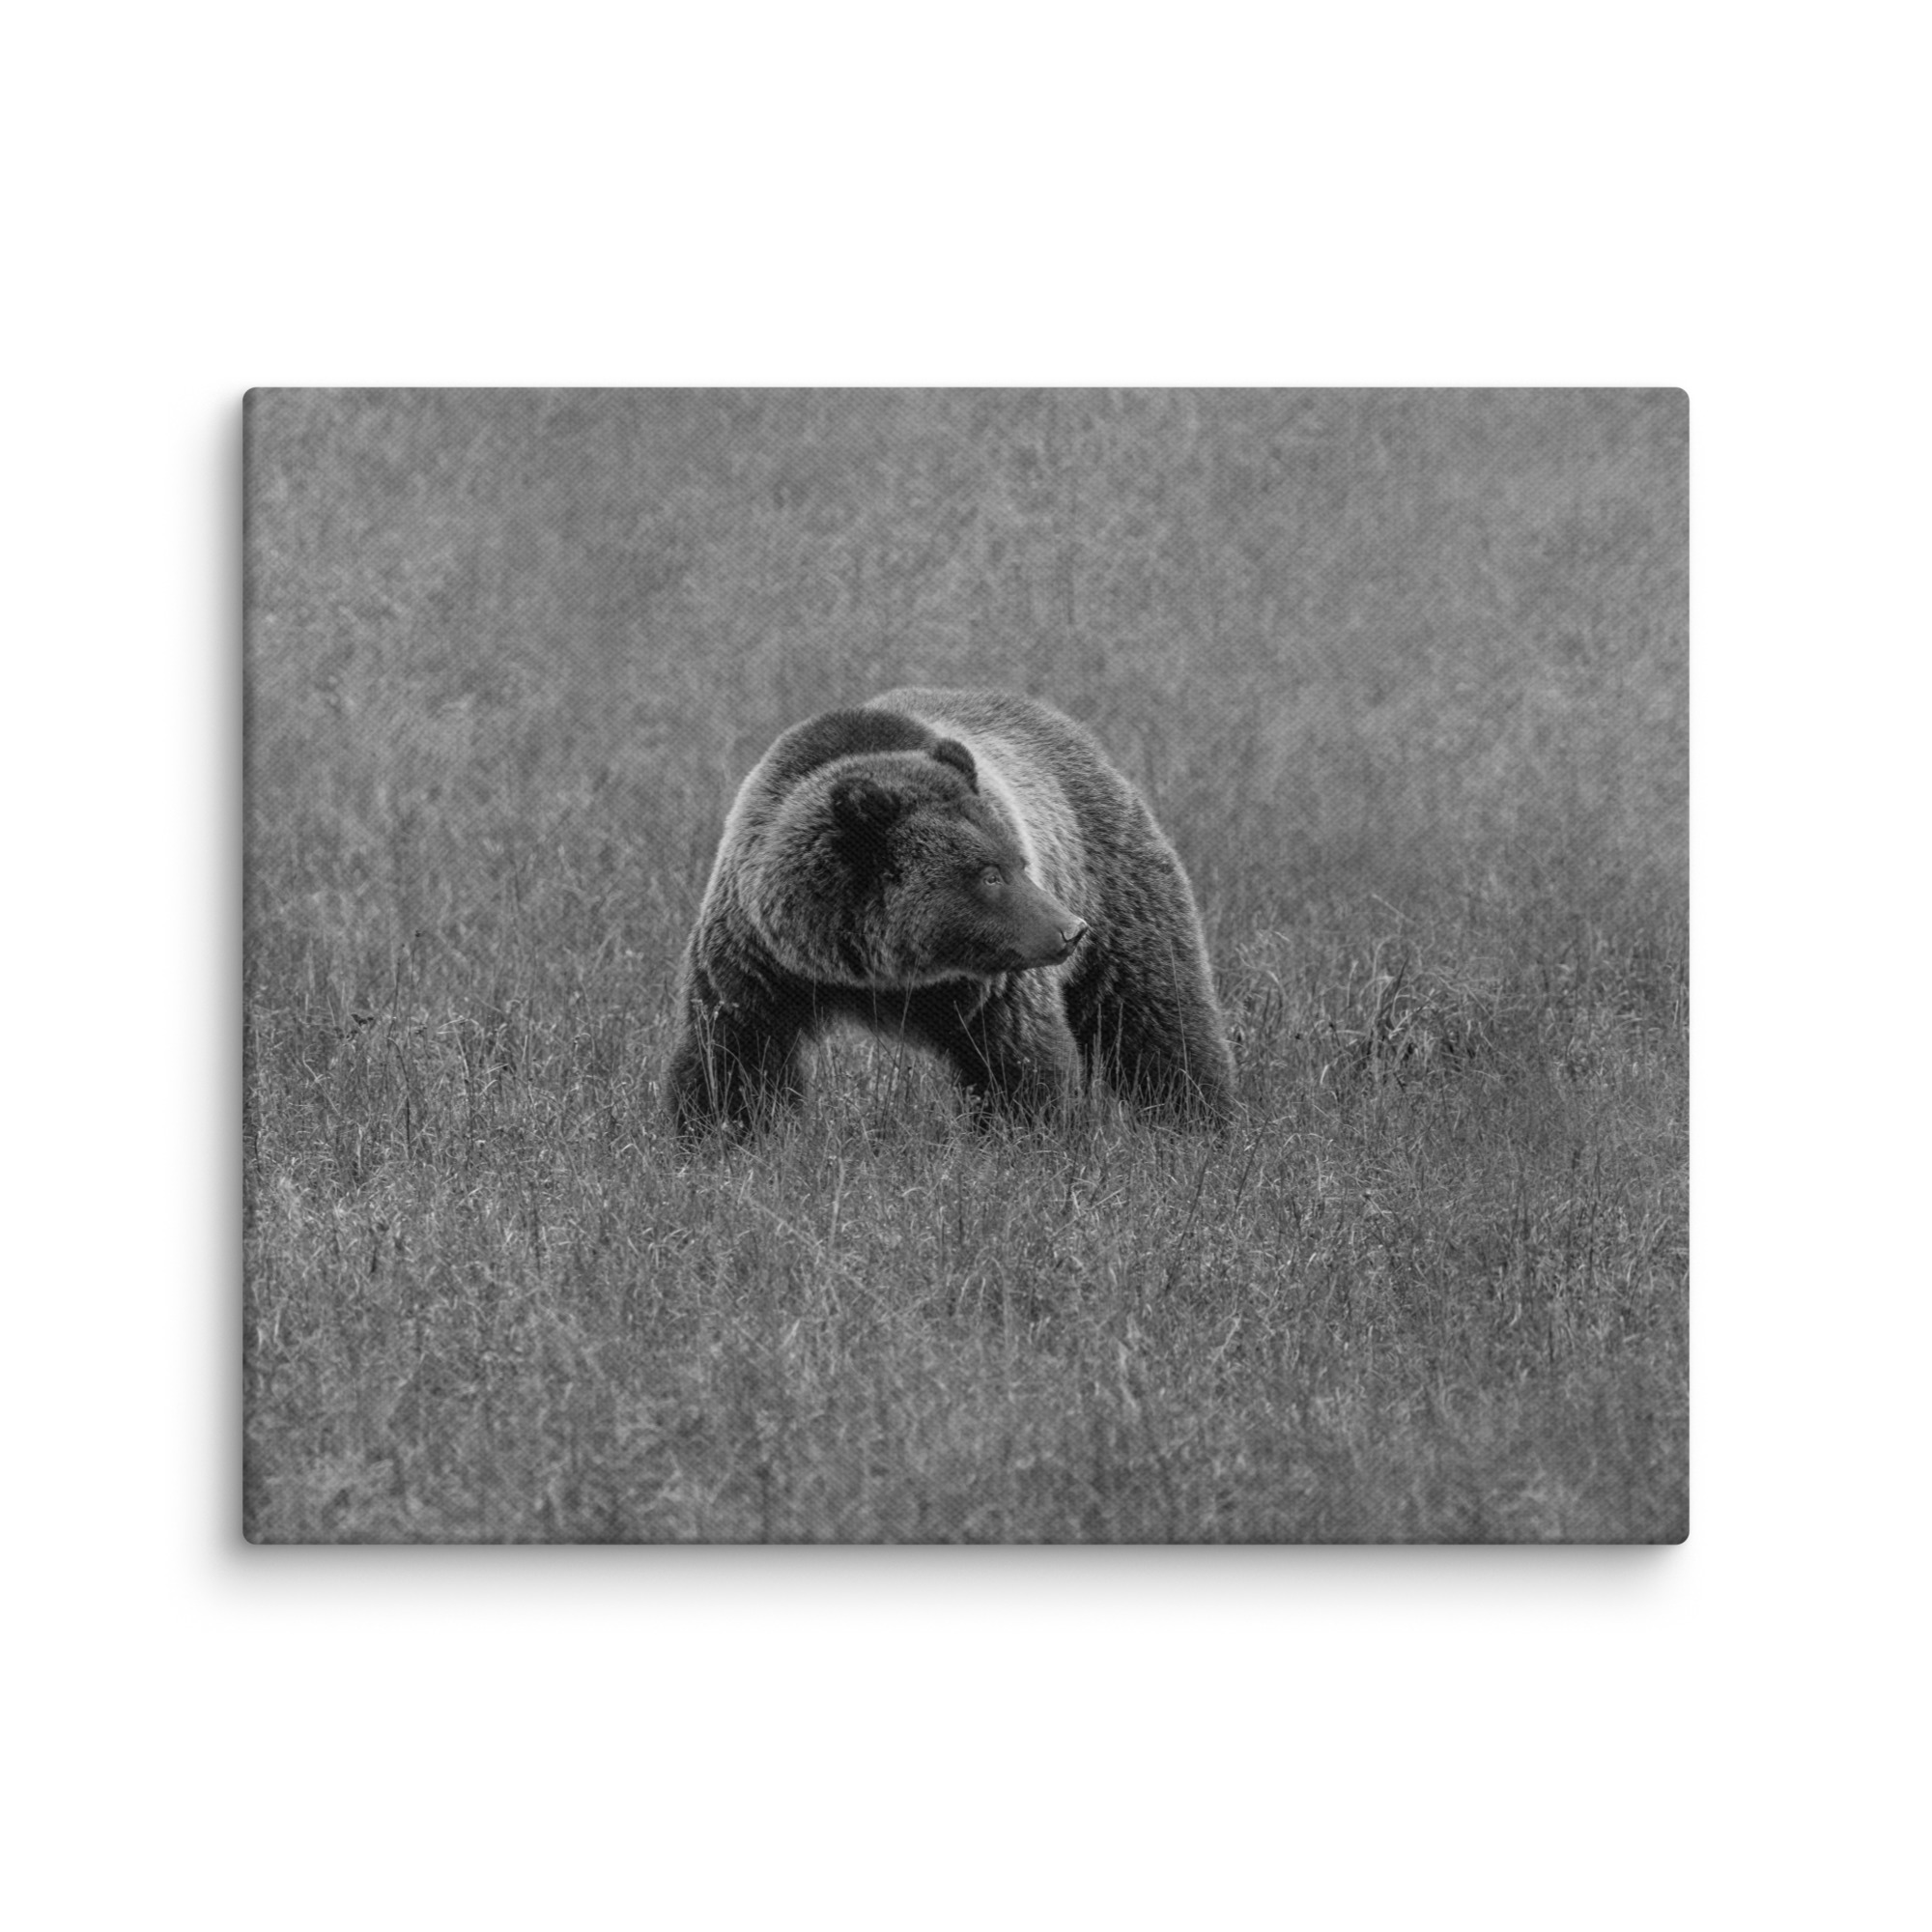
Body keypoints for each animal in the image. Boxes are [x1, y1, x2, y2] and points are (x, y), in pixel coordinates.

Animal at [665, 687, 1235, 1135]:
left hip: (1113, 881)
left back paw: (1200, 1122)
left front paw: (1029, 1137)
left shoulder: (993, 985)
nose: (1070, 931)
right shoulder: (760, 961)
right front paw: (719, 1135)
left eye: (1019, 861)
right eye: (989, 874)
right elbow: (734, 1057)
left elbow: (1018, 1062)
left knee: (1155, 1011)